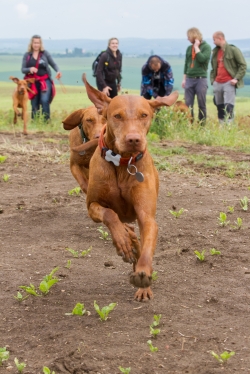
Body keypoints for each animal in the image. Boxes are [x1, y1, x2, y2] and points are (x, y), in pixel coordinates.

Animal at [82, 74, 178, 302]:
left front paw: (143, 275)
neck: (122, 164)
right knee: (125, 227)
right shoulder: (92, 206)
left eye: (145, 115)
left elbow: (147, 244)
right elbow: (109, 214)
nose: (134, 139)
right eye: (117, 116)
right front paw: (122, 240)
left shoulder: (146, 215)